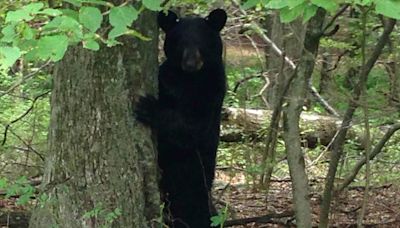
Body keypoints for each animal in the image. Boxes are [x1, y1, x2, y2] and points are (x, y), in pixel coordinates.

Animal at [136, 8, 227, 228]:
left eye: (202, 42)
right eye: (179, 42)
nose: (190, 63)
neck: (189, 79)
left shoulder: (212, 91)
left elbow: (191, 127)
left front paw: (149, 107)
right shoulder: (167, 77)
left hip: (192, 184)